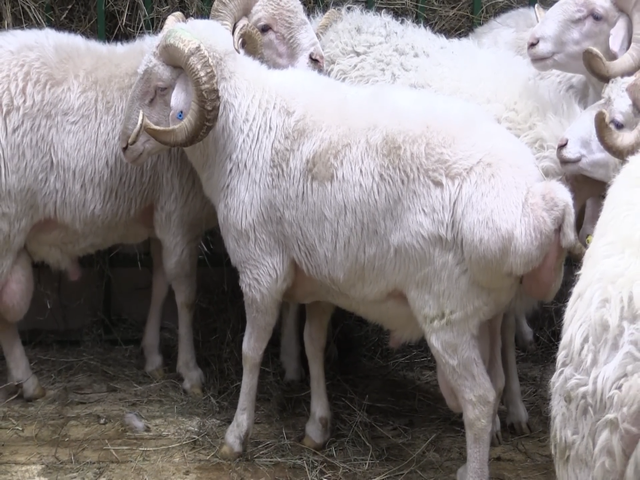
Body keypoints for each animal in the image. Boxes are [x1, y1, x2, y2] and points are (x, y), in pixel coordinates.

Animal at [0, 0, 325, 401]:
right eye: (265, 27)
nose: (318, 60)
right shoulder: (178, 214)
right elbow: (184, 293)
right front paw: (190, 372)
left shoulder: (160, 215)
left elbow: (158, 283)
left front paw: (153, 357)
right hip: (6, 224)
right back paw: (27, 380)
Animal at [119, 17, 579, 479]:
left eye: (160, 88)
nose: (124, 145)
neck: (241, 127)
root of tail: (537, 201)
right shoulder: (322, 279)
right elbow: (313, 344)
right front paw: (317, 427)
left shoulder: (262, 269)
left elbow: (251, 350)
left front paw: (236, 435)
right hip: (487, 313)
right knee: (495, 382)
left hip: (446, 314)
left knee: (480, 400)